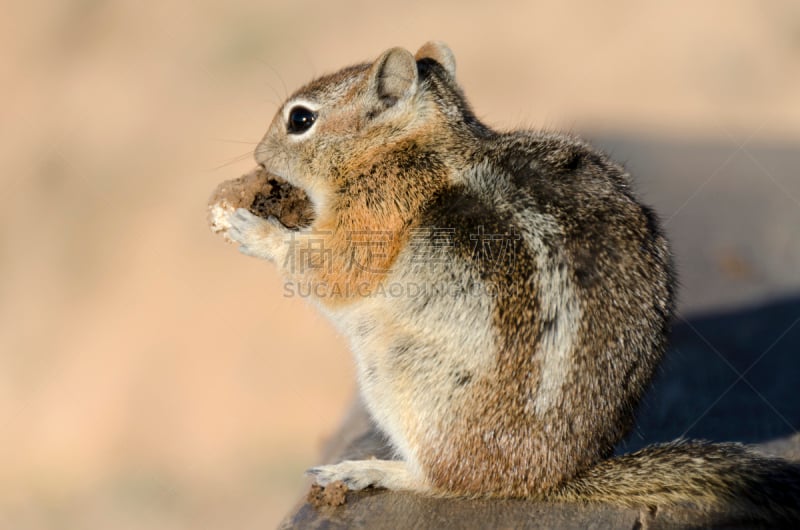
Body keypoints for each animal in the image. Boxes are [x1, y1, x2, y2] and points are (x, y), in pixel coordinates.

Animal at [211, 42, 800, 524]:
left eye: (300, 119)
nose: (259, 156)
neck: (409, 148)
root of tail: (554, 478)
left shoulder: (373, 216)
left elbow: (332, 271)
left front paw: (251, 229)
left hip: (401, 373)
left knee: (444, 481)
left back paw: (370, 469)